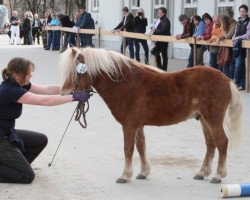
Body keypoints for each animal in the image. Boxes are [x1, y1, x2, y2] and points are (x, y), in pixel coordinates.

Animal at [59, 47, 243, 184]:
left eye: (75, 73)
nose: (63, 93)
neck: (126, 83)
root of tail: (227, 79)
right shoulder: (138, 125)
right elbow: (141, 147)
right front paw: (143, 172)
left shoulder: (129, 125)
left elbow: (128, 149)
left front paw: (125, 175)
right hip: (204, 120)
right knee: (211, 144)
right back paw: (202, 172)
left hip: (213, 119)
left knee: (222, 142)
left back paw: (218, 175)